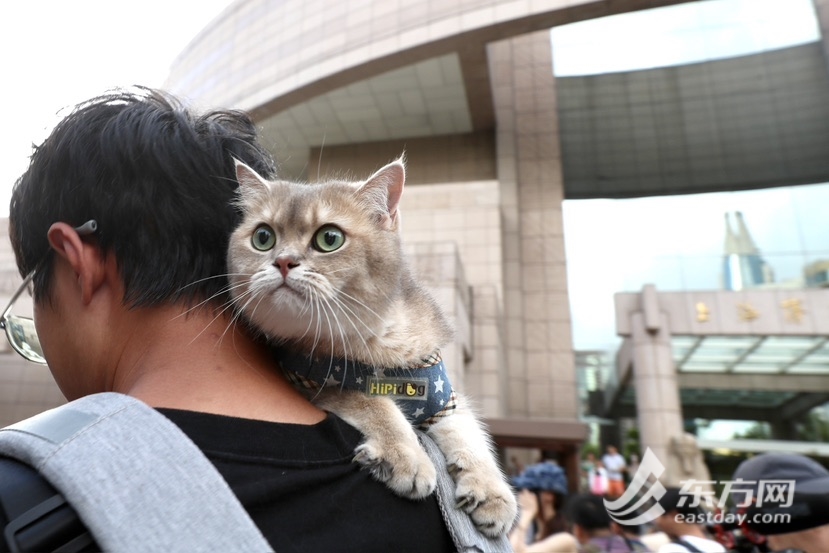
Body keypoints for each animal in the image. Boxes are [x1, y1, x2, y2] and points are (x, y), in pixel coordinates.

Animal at [230, 157, 516, 536]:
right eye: (263, 237)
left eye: (329, 238)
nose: (283, 262)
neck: (383, 340)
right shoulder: (314, 382)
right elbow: (375, 403)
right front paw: (406, 456)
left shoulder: (442, 394)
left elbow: (467, 429)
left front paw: (491, 488)